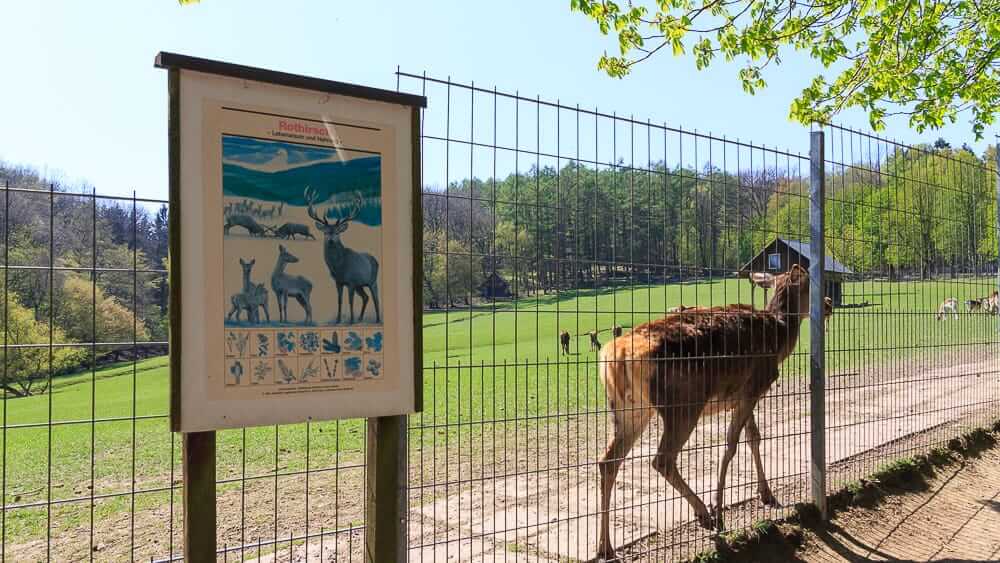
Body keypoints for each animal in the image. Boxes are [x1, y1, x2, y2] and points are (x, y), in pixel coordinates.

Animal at [302, 187, 380, 324]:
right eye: (326, 232)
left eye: (338, 232)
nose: (331, 240)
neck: (339, 267)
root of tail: (376, 260)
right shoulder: (339, 282)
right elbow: (339, 300)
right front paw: (338, 320)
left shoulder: (351, 281)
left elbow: (350, 301)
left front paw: (351, 321)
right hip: (361, 285)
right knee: (366, 297)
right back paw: (360, 318)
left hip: (372, 280)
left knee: (376, 298)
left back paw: (377, 319)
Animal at [592, 266, 828, 560]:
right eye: (811, 285)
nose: (829, 304)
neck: (779, 339)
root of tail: (617, 354)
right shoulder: (755, 385)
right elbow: (731, 445)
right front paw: (720, 508)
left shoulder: (740, 396)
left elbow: (754, 438)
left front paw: (767, 494)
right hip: (682, 405)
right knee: (662, 459)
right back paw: (704, 513)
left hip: (628, 409)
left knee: (608, 461)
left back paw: (605, 546)